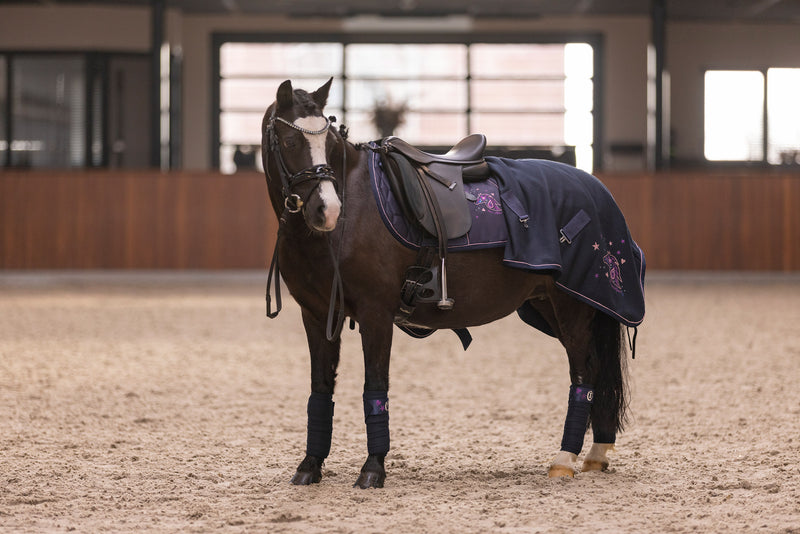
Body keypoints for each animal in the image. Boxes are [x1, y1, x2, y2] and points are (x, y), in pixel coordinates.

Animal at [262, 78, 636, 490]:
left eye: (327, 142)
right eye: (290, 141)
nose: (326, 209)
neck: (352, 211)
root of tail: (595, 188)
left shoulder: (376, 315)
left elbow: (375, 387)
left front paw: (373, 468)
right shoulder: (316, 315)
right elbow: (320, 388)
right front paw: (310, 465)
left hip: (574, 307)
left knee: (584, 375)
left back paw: (564, 459)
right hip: (554, 305)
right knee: (598, 372)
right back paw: (596, 453)